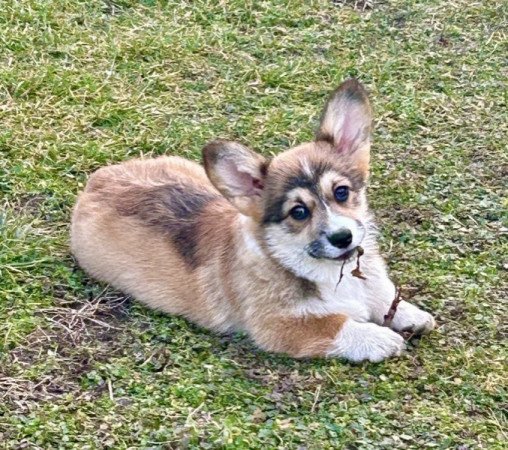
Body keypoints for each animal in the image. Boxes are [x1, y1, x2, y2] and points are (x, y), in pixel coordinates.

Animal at [70, 79, 436, 364]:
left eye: (341, 192)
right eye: (298, 212)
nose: (343, 238)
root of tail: (97, 180)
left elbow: (384, 294)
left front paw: (411, 315)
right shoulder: (277, 326)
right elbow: (336, 325)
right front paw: (378, 338)